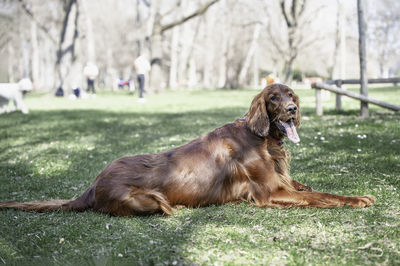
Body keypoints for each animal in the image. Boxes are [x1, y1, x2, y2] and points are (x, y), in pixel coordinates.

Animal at [0, 83, 376, 216]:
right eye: (273, 98)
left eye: (291, 95)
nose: (293, 110)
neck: (261, 138)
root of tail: (91, 186)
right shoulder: (271, 192)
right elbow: (323, 195)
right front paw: (359, 198)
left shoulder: (284, 183)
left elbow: (308, 186)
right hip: (145, 199)